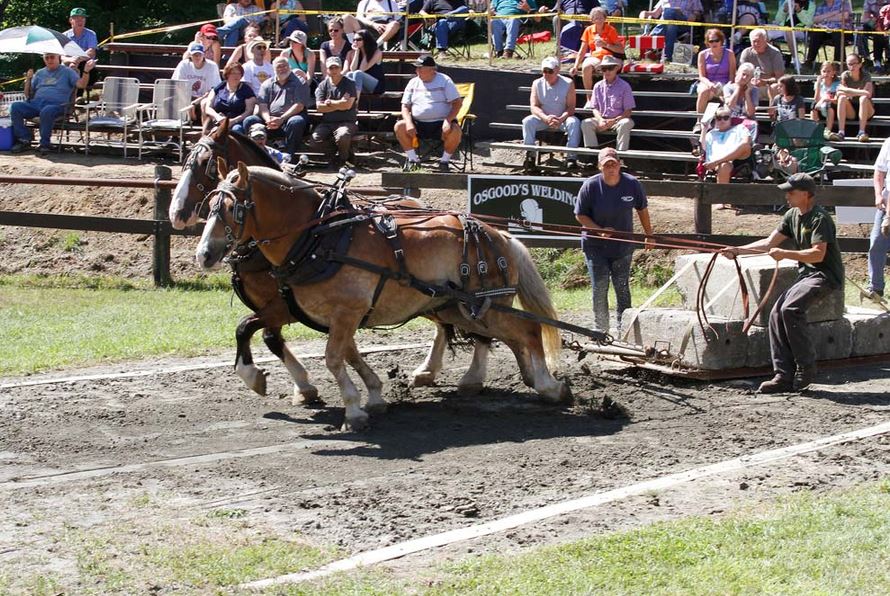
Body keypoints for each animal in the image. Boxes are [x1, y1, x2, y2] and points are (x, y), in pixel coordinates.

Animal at [196, 162, 569, 430]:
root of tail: (501, 235)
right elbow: (253, 329)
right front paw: (371, 395)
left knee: (526, 332)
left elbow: (334, 358)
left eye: (231, 209)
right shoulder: (313, 311)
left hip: (484, 306)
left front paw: (353, 410)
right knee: (502, 337)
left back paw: (547, 385)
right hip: (456, 307)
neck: (320, 237)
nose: (204, 254)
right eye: (208, 205)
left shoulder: (345, 311)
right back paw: (513, 378)